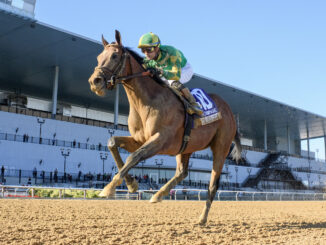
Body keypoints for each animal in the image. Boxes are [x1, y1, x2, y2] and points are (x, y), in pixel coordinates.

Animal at [88, 30, 241, 224]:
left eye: (115, 55)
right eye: (99, 57)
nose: (95, 81)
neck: (148, 101)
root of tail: (229, 110)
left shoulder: (160, 140)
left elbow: (134, 157)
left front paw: (109, 188)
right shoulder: (140, 139)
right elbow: (112, 143)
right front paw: (131, 184)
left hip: (220, 147)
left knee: (213, 184)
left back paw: (202, 218)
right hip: (186, 147)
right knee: (182, 173)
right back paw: (158, 195)